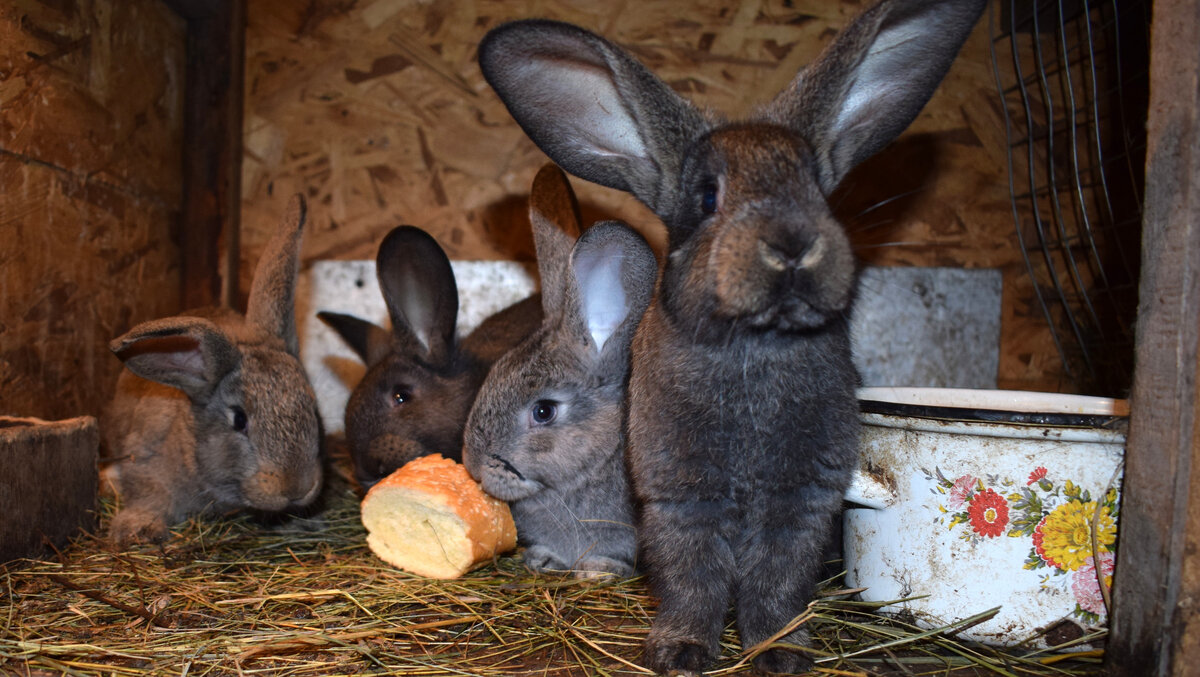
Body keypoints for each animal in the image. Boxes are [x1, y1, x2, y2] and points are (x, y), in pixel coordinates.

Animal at [103, 194, 324, 544]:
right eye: (239, 420)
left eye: (314, 412)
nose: (297, 488)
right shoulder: (144, 459)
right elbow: (146, 494)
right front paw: (138, 529)